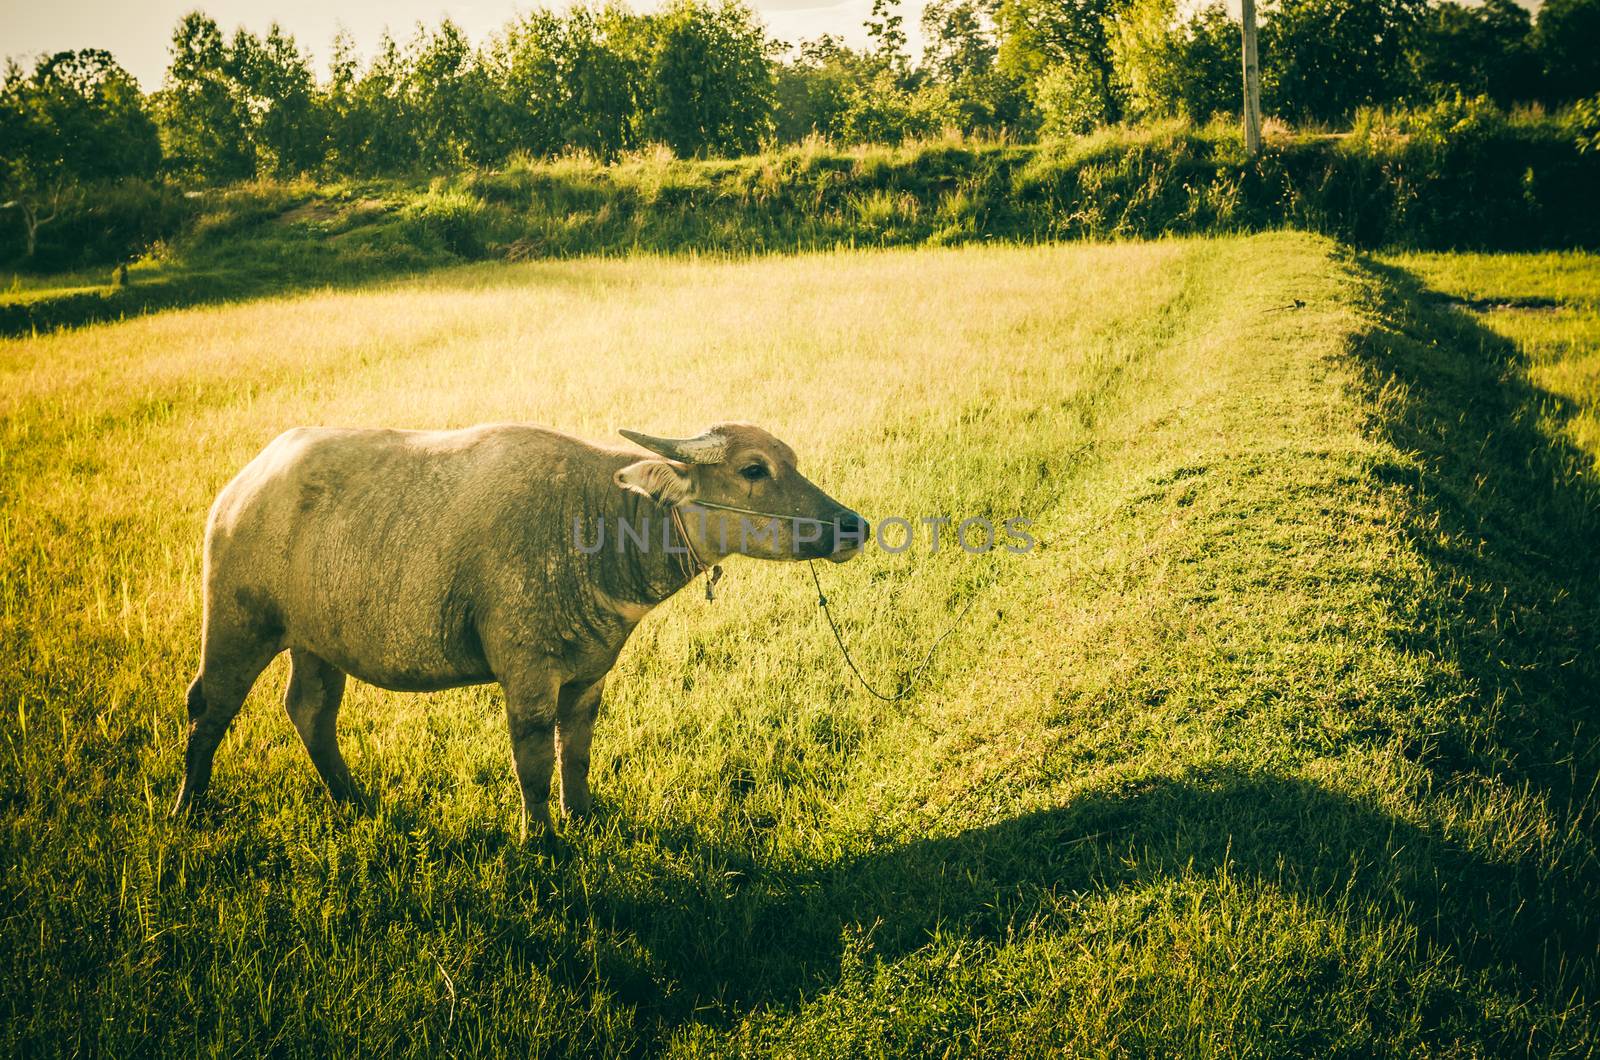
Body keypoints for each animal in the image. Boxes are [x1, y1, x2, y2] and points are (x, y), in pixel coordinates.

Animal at [173, 425, 870, 839]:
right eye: (754, 469)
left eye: (789, 461)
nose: (852, 525)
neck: (599, 520)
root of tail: (240, 487)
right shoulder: (528, 672)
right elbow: (532, 758)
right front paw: (545, 841)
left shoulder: (590, 672)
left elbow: (575, 751)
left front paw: (581, 817)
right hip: (237, 623)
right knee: (209, 706)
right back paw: (188, 808)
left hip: (317, 640)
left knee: (310, 709)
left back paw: (351, 798)